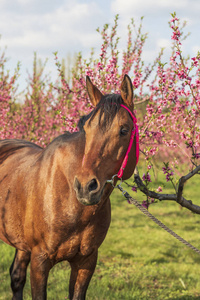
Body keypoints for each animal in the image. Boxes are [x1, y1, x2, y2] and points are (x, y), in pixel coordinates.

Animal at [0, 74, 138, 298]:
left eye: (124, 130)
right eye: (86, 130)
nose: (85, 186)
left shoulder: (86, 262)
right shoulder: (40, 261)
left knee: (17, 277)